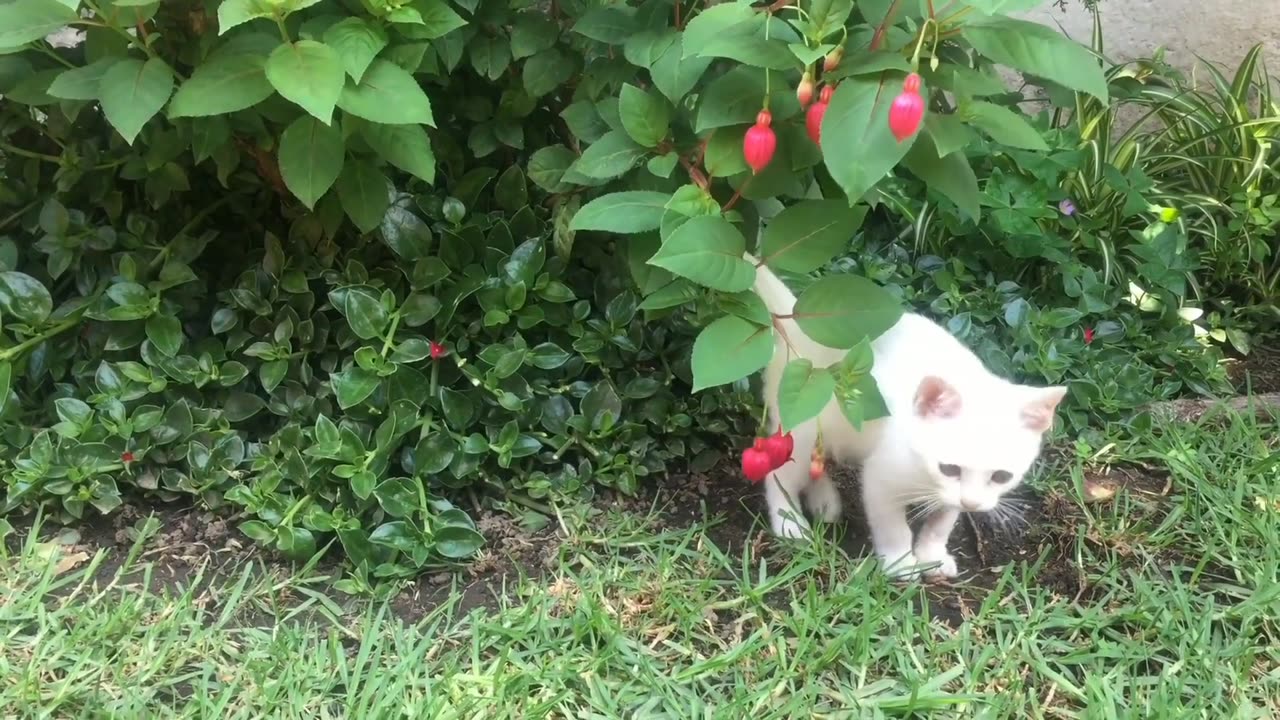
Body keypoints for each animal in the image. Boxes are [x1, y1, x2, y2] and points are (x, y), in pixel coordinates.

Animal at [747, 257, 1059, 576]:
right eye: (949, 468)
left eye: (1001, 476)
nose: (972, 503)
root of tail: (797, 322)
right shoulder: (881, 475)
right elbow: (892, 525)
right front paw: (900, 562)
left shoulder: (950, 497)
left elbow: (943, 520)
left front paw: (933, 554)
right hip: (804, 421)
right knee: (781, 473)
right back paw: (790, 524)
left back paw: (824, 499)